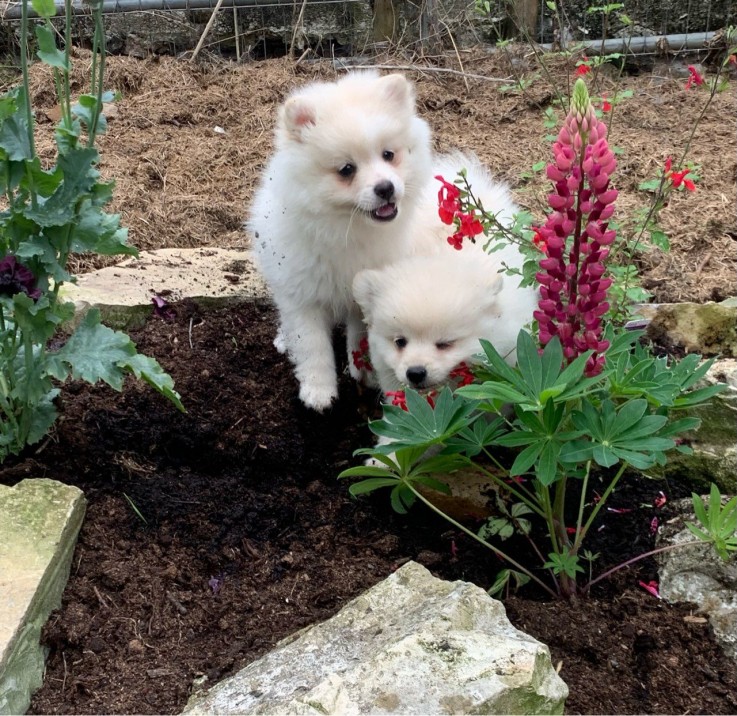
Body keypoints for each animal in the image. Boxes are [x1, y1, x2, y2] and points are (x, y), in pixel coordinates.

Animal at [252, 72, 524, 412]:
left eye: (388, 155)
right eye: (346, 169)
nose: (385, 188)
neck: (349, 231)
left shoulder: (362, 291)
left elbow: (360, 334)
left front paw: (364, 371)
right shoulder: (301, 292)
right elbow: (312, 344)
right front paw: (319, 393)